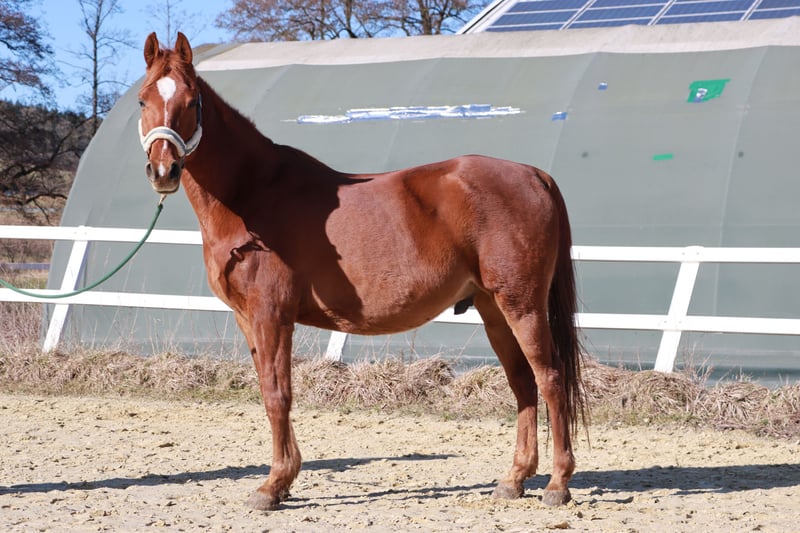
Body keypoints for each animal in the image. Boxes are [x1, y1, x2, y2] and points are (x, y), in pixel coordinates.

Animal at [137, 32, 586, 511]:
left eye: (191, 101)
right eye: (144, 100)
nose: (163, 170)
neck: (253, 194)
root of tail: (534, 174)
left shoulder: (271, 316)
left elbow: (278, 395)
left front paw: (273, 485)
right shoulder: (247, 319)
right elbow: (268, 390)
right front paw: (284, 479)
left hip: (522, 306)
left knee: (550, 378)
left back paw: (558, 484)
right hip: (494, 310)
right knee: (522, 383)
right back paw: (514, 479)